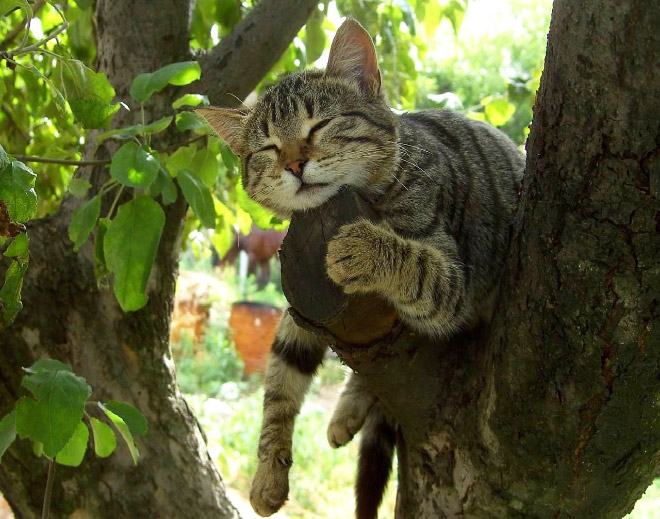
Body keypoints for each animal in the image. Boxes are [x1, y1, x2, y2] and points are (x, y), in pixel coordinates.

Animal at [199, 18, 524, 519]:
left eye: (320, 125)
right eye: (269, 148)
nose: (295, 163)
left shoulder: (454, 283)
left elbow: (417, 265)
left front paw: (361, 246)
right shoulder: (299, 310)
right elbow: (280, 383)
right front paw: (269, 469)